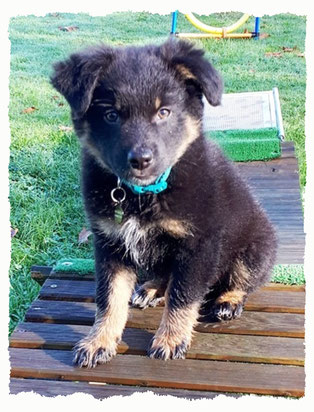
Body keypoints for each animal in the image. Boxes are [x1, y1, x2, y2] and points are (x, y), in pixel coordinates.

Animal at [51, 38, 278, 366]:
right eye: (111, 115)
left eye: (164, 112)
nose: (141, 160)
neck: (142, 195)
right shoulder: (110, 243)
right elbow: (109, 298)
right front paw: (99, 341)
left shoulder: (199, 245)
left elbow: (182, 295)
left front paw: (171, 338)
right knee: (163, 274)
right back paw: (150, 288)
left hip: (255, 247)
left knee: (243, 281)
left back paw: (228, 300)